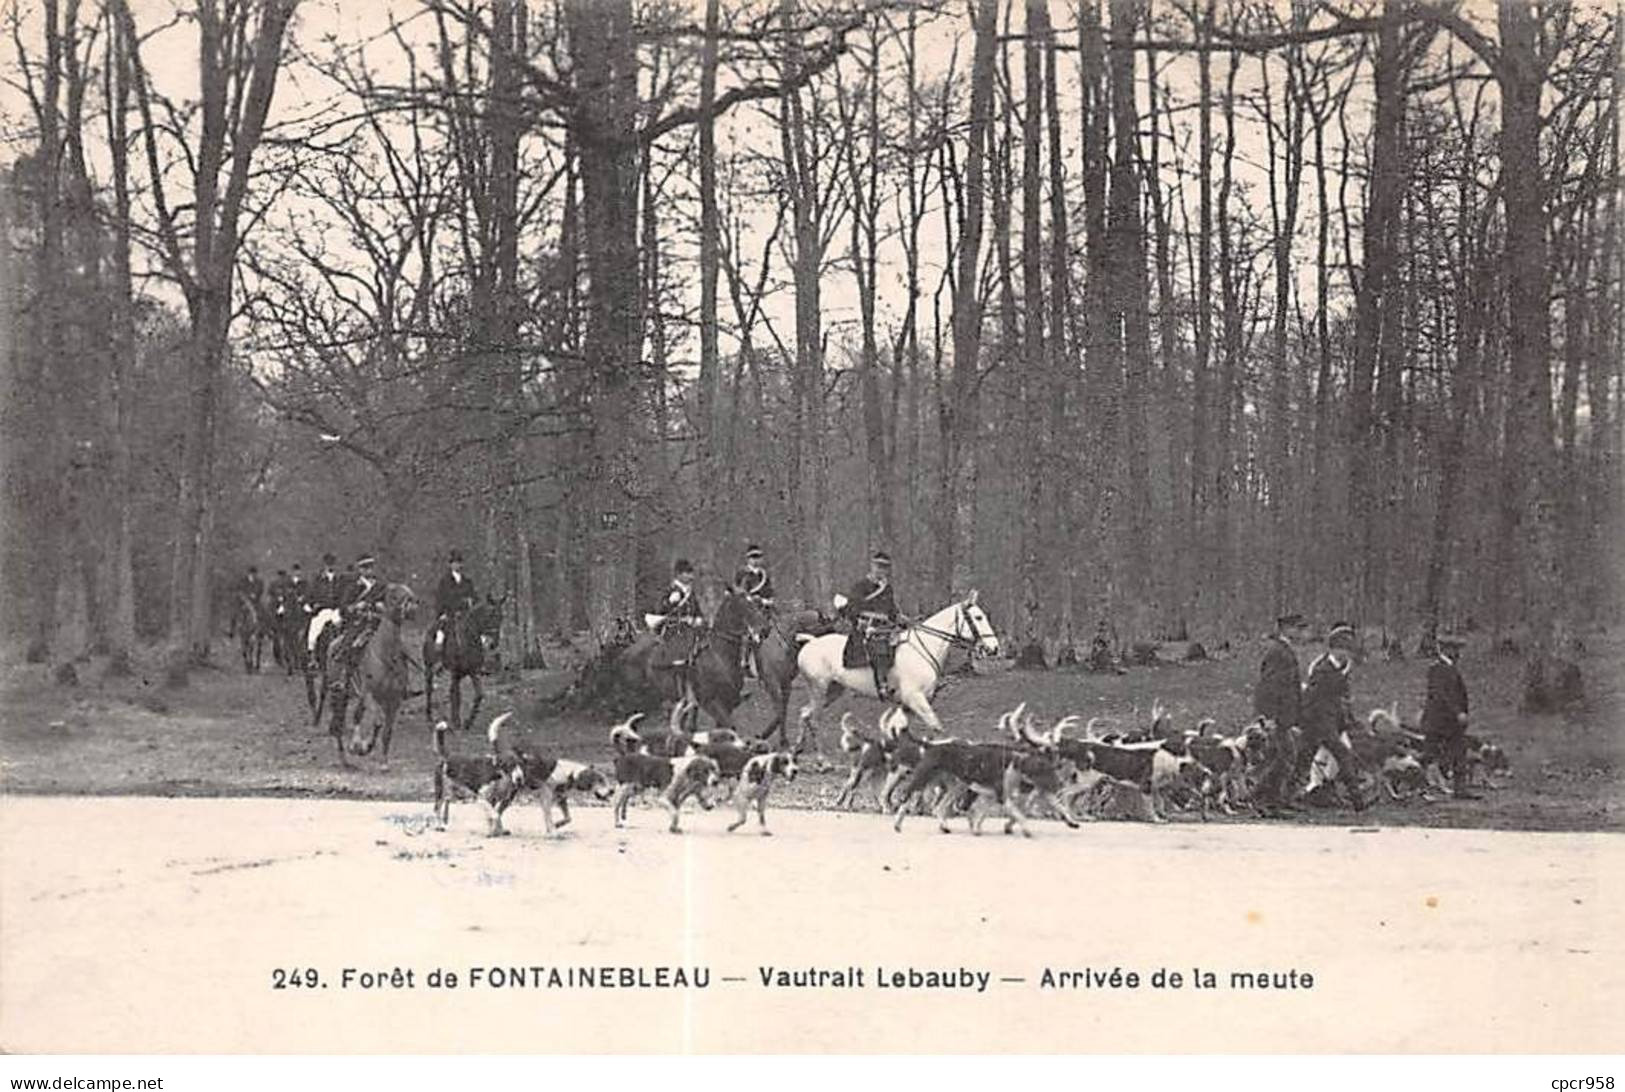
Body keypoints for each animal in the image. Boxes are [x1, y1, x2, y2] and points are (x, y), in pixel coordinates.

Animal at [325, 585, 419, 773]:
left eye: (409, 592)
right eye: (393, 594)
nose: (412, 608)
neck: (387, 656)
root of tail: (334, 644)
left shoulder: (394, 701)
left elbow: (387, 732)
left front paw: (383, 762)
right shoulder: (369, 694)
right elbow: (376, 721)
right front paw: (362, 747)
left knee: (355, 716)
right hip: (338, 694)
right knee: (341, 723)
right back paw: (345, 757)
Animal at [793, 591, 994, 754]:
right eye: (978, 617)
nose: (994, 647)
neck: (923, 648)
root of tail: (811, 642)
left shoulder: (909, 704)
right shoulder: (915, 699)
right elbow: (936, 727)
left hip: (833, 691)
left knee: (804, 713)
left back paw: (798, 747)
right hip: (819, 689)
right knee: (814, 720)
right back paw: (822, 760)